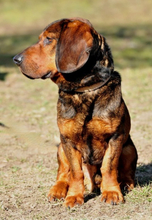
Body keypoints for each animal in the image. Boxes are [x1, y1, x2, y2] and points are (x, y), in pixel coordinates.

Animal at [13, 17, 138, 208]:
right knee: (63, 174)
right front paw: (73, 196)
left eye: (48, 39)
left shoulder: (115, 137)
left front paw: (112, 192)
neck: (83, 89)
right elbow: (75, 171)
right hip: (60, 148)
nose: (16, 59)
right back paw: (57, 190)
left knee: (125, 171)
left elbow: (109, 167)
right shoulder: (68, 140)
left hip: (129, 148)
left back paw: (124, 184)